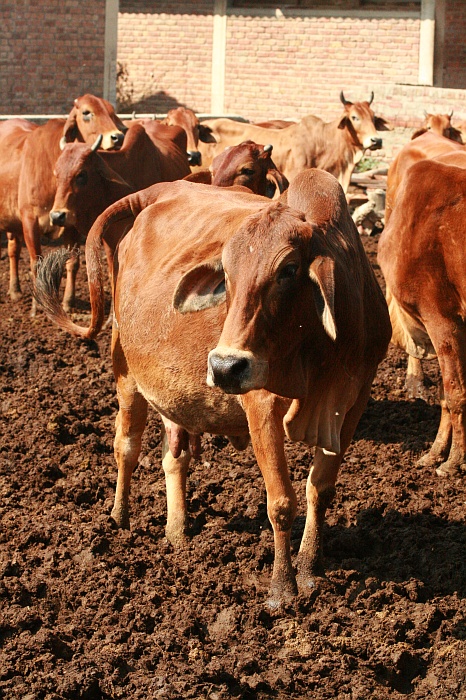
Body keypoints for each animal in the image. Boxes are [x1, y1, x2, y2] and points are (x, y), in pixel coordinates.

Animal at [0, 94, 127, 312]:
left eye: (111, 110)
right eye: (86, 112)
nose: (118, 136)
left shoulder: (70, 223)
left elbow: (73, 263)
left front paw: (68, 301)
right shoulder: (29, 219)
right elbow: (36, 263)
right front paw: (38, 304)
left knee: (13, 248)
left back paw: (15, 290)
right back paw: (15, 291)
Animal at [34, 170, 391, 605]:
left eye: (289, 269)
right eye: (226, 272)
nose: (224, 366)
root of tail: (155, 192)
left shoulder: (353, 403)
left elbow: (320, 490)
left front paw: (308, 569)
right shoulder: (260, 405)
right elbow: (281, 503)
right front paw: (281, 588)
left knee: (174, 457)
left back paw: (177, 531)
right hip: (126, 370)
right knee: (126, 447)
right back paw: (119, 519)